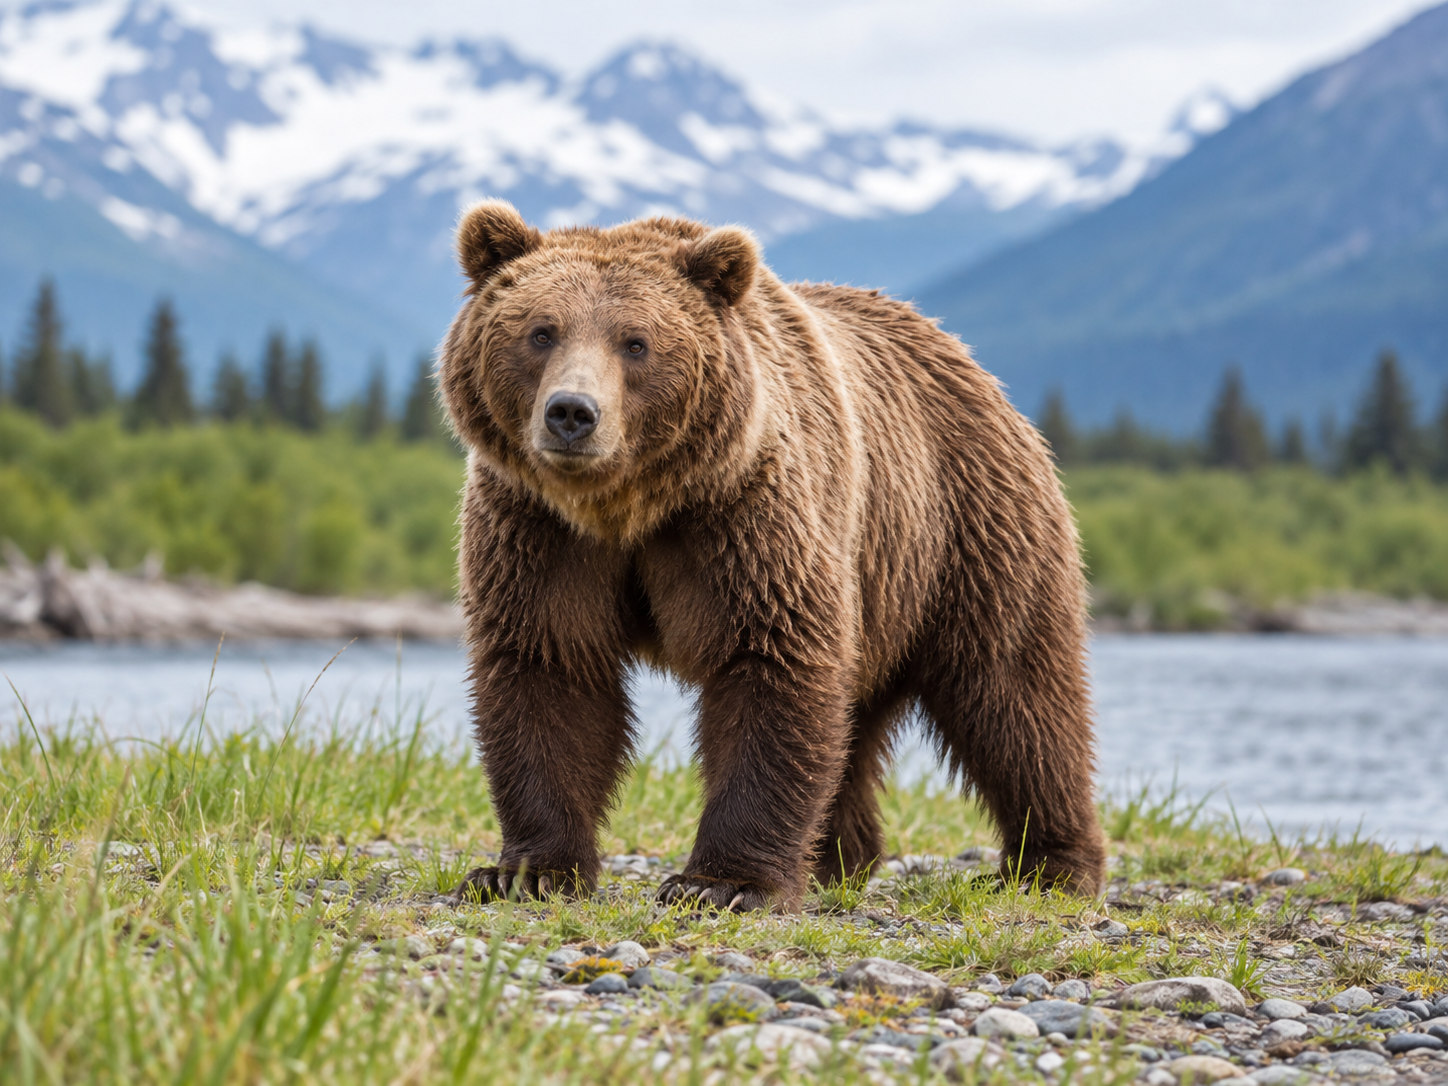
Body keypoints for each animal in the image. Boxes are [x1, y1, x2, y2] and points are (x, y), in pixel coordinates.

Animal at [438, 201, 1106, 911]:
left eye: (635, 342)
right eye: (541, 332)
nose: (571, 412)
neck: (627, 505)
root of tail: (969, 361)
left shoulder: (746, 514)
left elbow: (771, 657)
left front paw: (722, 883)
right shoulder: (541, 531)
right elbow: (548, 667)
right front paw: (524, 871)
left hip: (966, 530)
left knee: (1015, 694)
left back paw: (1051, 866)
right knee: (859, 726)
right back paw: (839, 858)